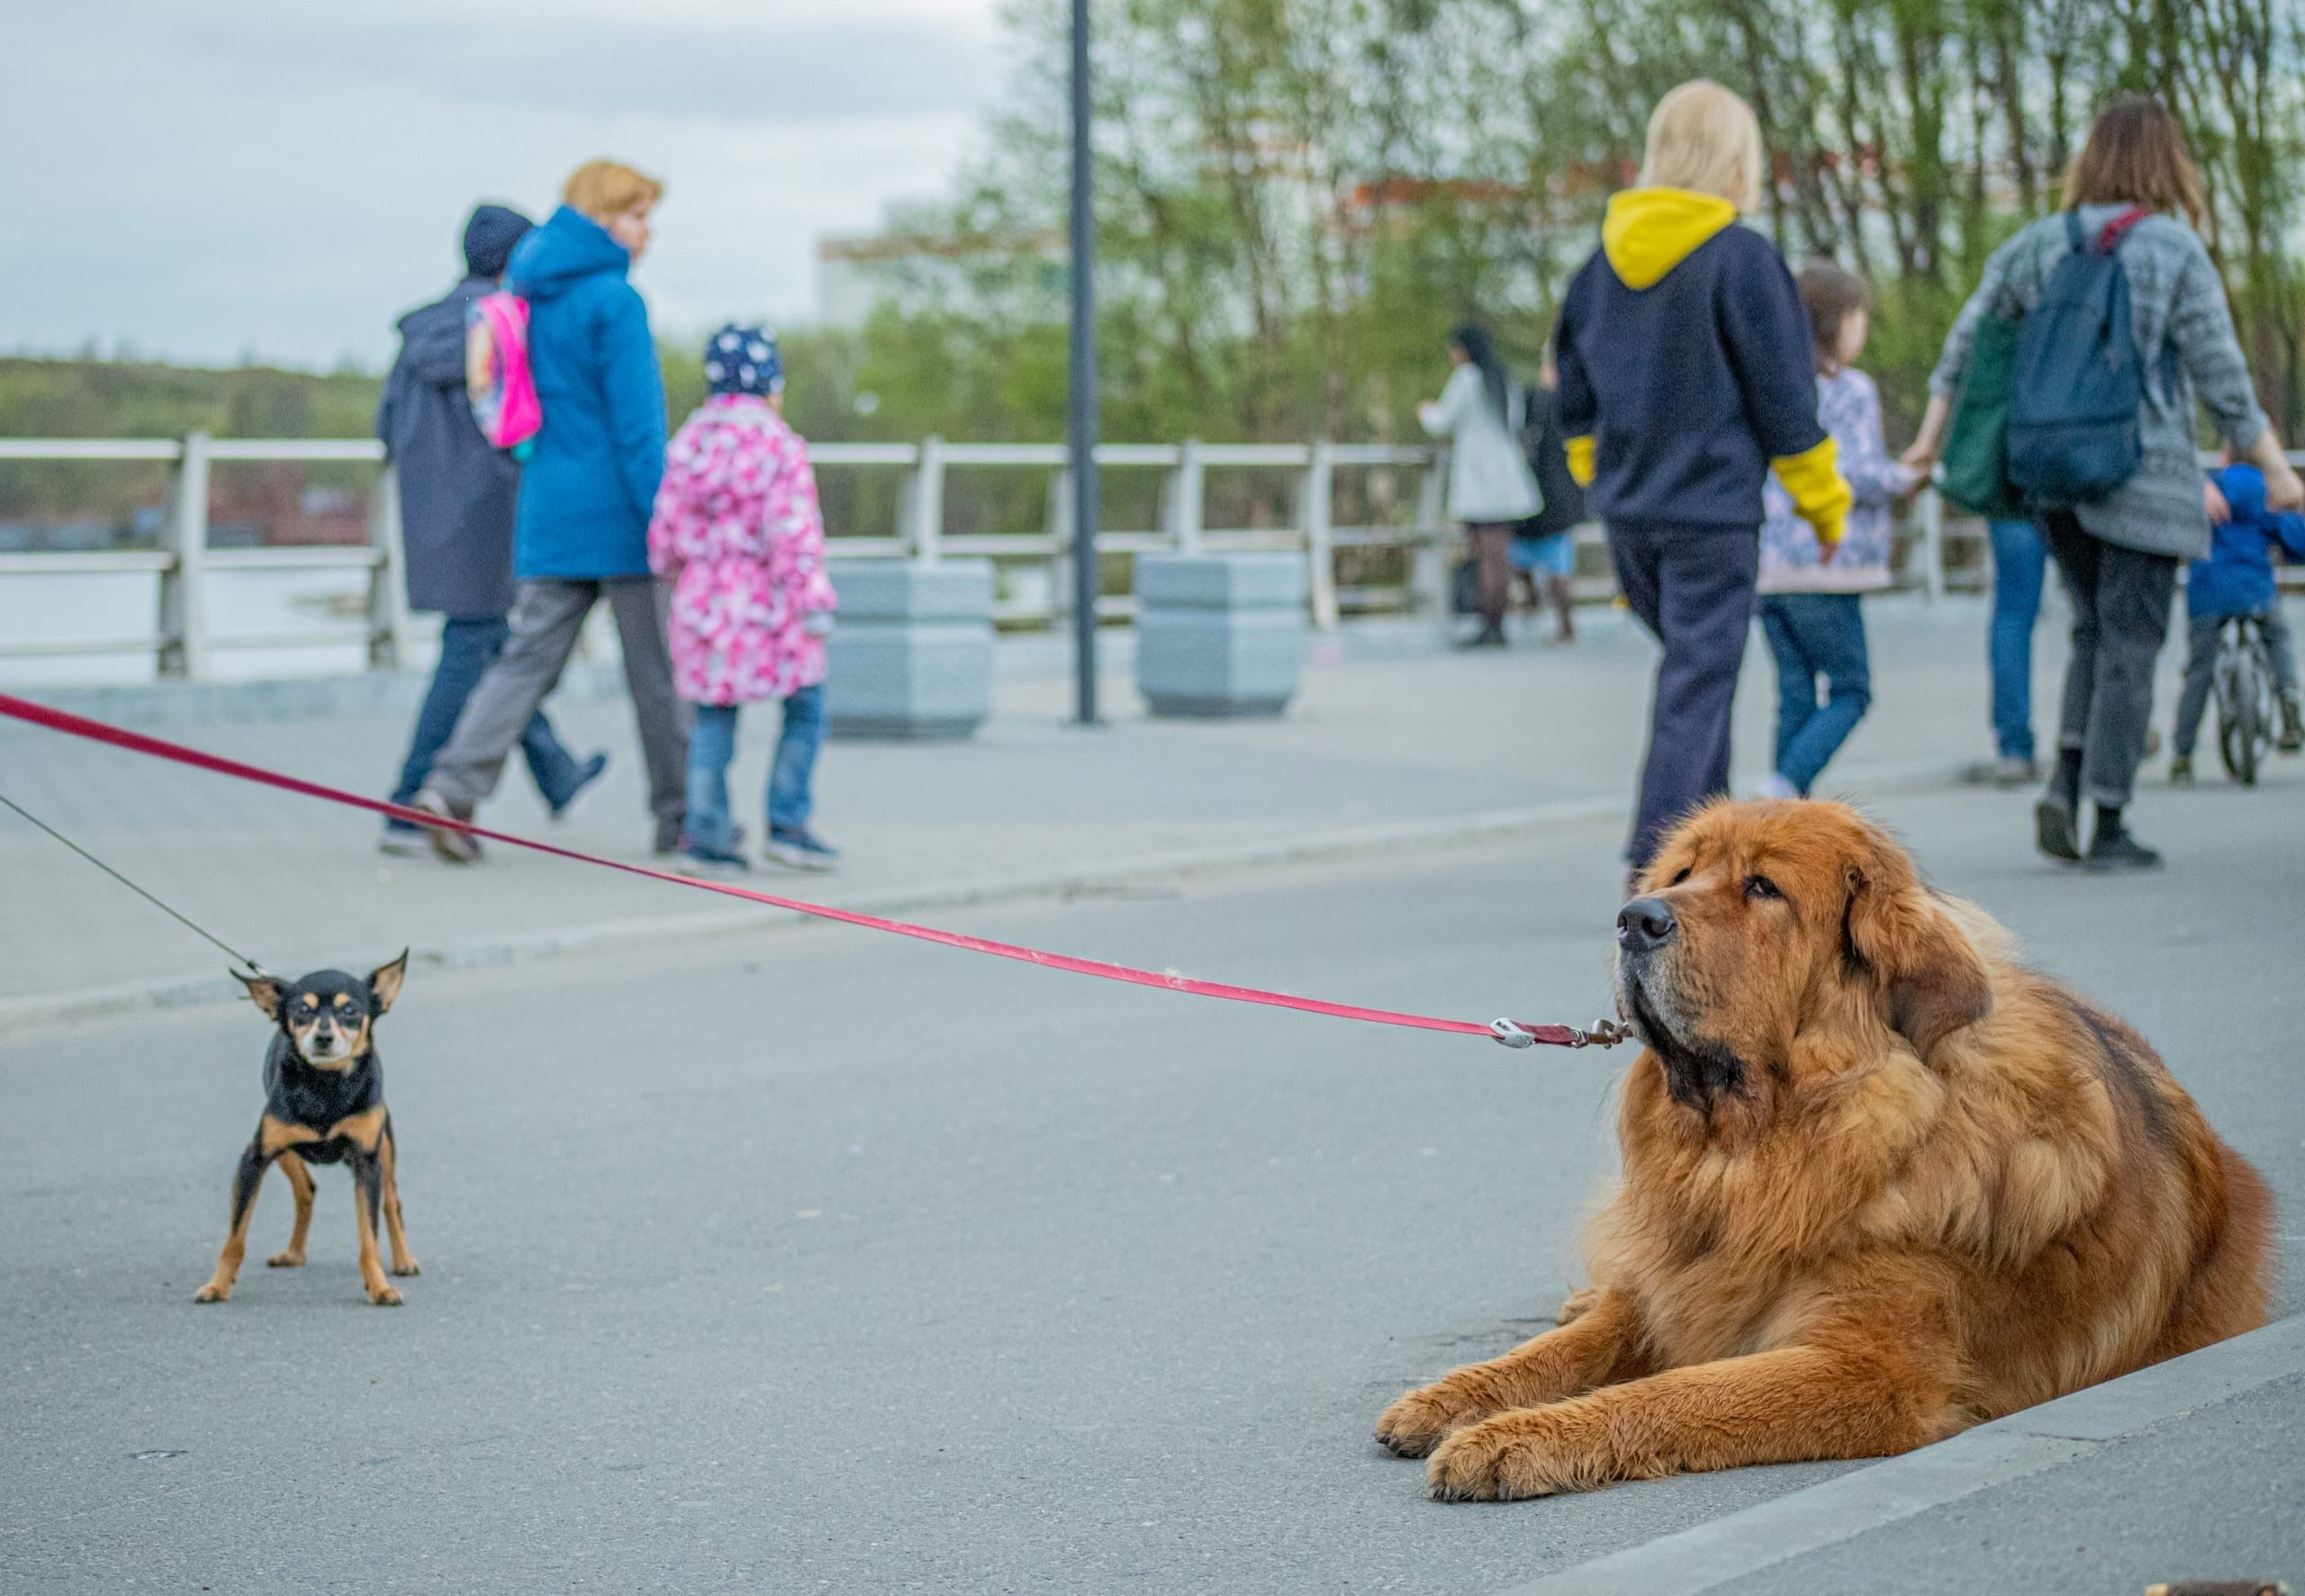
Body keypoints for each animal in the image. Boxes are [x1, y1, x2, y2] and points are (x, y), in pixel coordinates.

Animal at [194, 953, 419, 1298]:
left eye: (350, 1010)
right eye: (302, 1008)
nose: (323, 1037)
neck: (325, 1085)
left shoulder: (367, 1162)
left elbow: (369, 1237)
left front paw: (380, 1288)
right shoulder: (254, 1159)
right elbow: (235, 1237)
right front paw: (217, 1286)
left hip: (385, 1148)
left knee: (391, 1200)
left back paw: (403, 1260)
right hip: (286, 1151)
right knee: (305, 1190)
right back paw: (294, 1253)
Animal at [1383, 801, 2268, 1501]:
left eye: (1762, 889)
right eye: (1682, 871)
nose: (1636, 917)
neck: (1769, 1145)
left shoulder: (1867, 1367)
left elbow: (1676, 1391)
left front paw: (1510, 1438)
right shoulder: (1680, 1283)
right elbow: (1566, 1343)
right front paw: (1450, 1398)